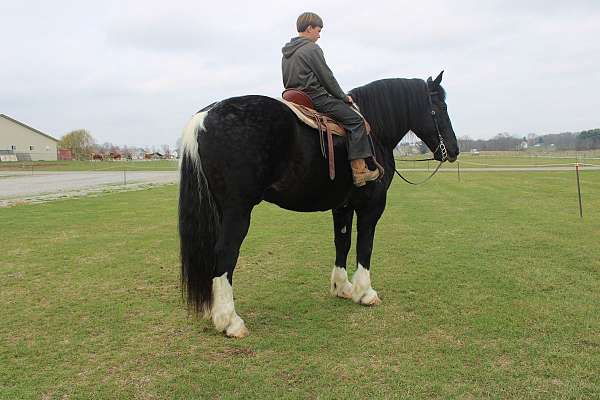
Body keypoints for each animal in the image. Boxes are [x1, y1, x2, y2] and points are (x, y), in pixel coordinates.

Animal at [178, 72, 460, 338]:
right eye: (441, 107)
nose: (454, 150)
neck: (375, 131)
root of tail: (203, 118)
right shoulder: (371, 206)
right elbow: (365, 245)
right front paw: (365, 292)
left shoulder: (343, 206)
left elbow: (342, 242)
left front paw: (342, 287)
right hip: (238, 211)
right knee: (225, 254)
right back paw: (230, 321)